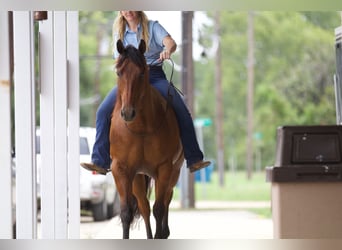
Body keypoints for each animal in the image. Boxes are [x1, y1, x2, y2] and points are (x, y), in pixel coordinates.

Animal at [109, 39, 184, 238]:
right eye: (119, 72)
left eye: (142, 73)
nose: (128, 112)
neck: (141, 129)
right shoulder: (121, 169)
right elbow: (127, 212)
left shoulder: (164, 169)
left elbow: (159, 208)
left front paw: (161, 233)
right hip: (137, 176)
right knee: (144, 206)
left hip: (173, 172)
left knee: (165, 201)